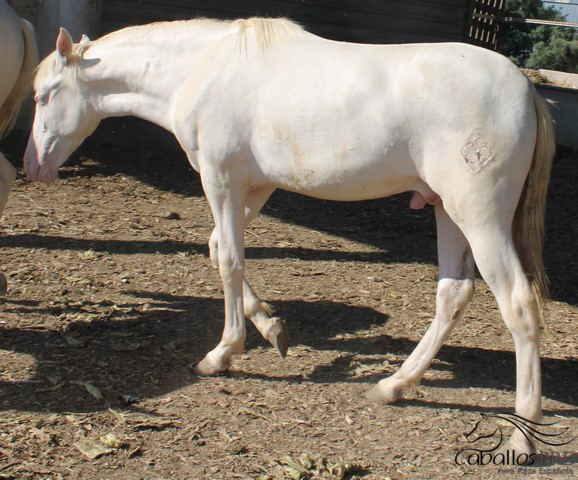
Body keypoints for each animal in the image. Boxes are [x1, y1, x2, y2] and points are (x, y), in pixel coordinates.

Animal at [23, 17, 552, 454]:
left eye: (44, 95)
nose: (33, 166)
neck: (204, 68)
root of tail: (526, 90)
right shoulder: (255, 188)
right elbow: (219, 249)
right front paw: (272, 329)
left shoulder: (221, 180)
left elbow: (230, 260)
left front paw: (222, 354)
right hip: (446, 210)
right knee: (453, 294)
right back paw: (394, 385)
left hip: (478, 216)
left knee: (518, 305)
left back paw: (522, 437)